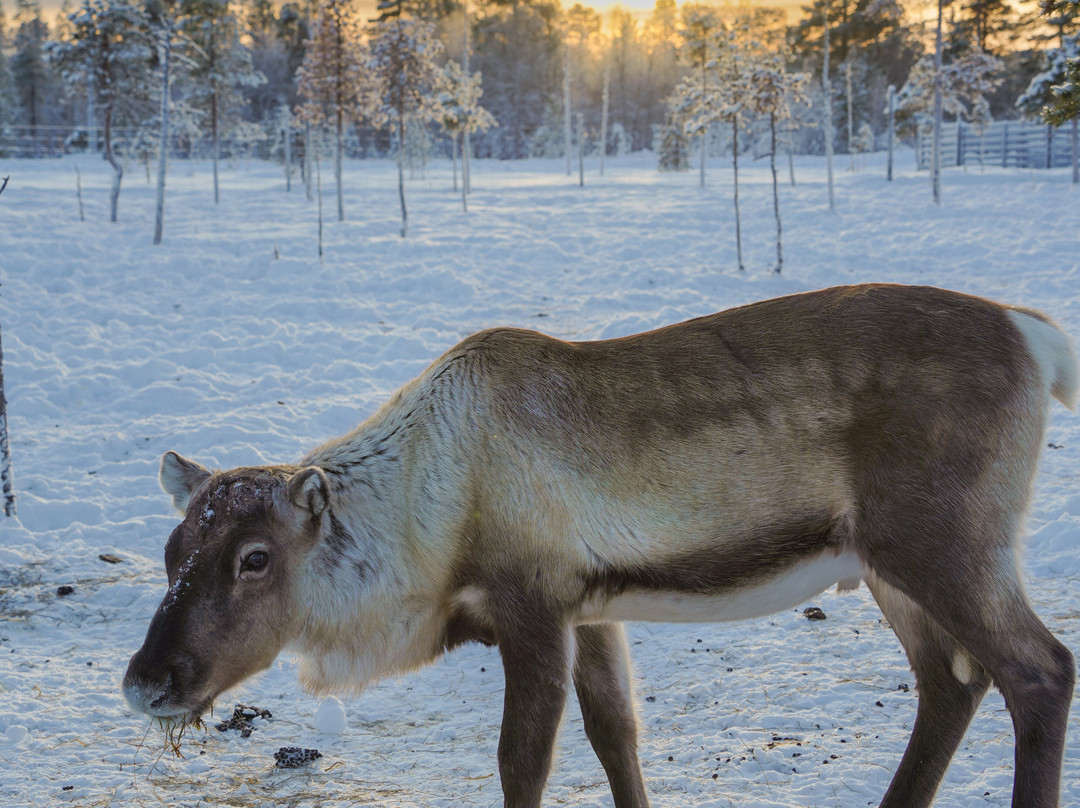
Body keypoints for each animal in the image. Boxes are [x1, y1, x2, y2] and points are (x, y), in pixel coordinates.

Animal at [123, 283, 1078, 808]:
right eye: (170, 552)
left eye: (254, 558)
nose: (147, 681)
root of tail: (1037, 335)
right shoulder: (593, 609)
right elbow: (617, 733)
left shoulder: (531, 604)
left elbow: (523, 764)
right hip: (890, 566)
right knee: (953, 682)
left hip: (948, 543)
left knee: (1039, 668)